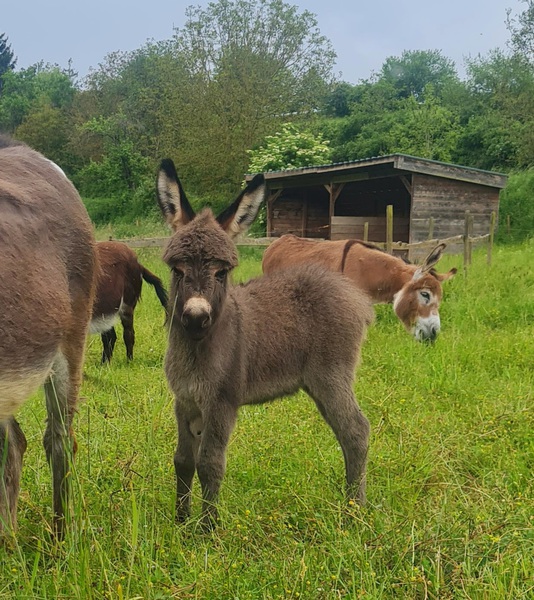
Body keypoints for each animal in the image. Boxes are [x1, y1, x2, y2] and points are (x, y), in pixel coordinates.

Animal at [156, 159, 374, 529]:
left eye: (222, 272)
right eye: (177, 270)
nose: (197, 319)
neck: (197, 352)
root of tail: (352, 292)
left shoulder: (221, 402)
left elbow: (210, 464)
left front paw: (206, 531)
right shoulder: (184, 402)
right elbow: (183, 460)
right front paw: (180, 523)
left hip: (332, 377)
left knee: (356, 432)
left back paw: (353, 513)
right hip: (319, 385)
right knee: (346, 434)